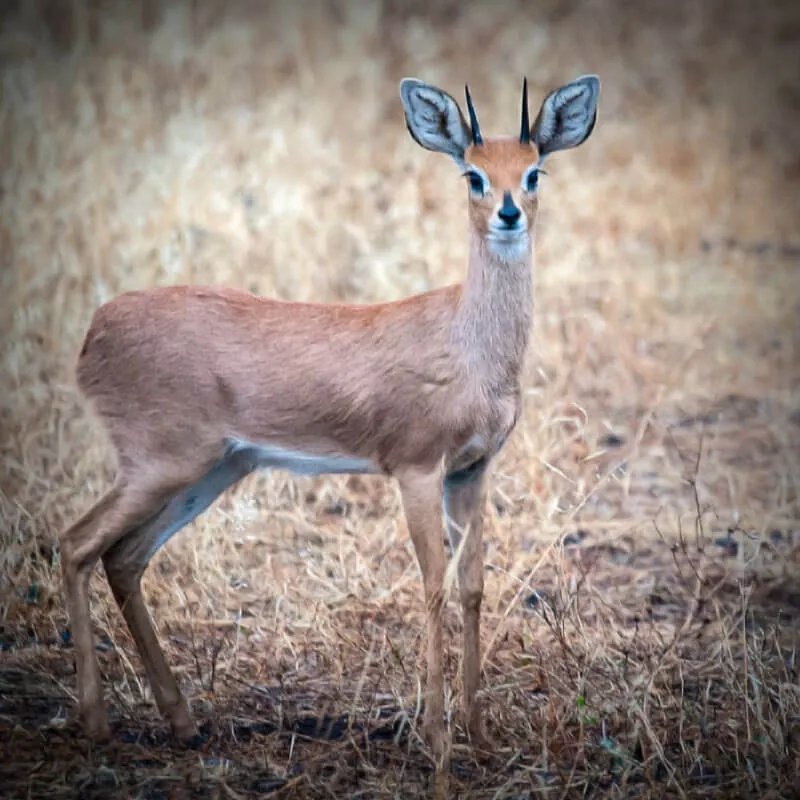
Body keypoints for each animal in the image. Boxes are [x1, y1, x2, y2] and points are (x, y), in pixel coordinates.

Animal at [59, 75, 600, 768]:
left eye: (534, 171)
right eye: (473, 175)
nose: (509, 213)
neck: (467, 339)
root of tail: (95, 330)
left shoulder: (471, 470)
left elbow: (473, 587)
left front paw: (480, 734)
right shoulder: (417, 468)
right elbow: (432, 585)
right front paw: (435, 737)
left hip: (211, 472)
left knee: (123, 558)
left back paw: (183, 724)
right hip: (162, 466)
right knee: (76, 545)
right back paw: (96, 723)